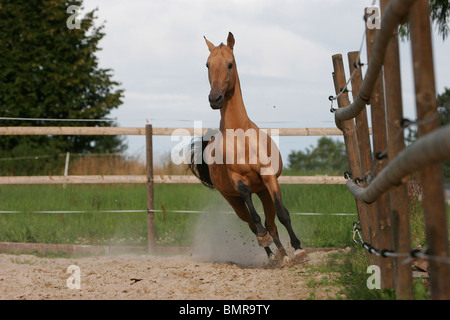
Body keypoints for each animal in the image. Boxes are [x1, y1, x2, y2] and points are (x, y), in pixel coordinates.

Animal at [188, 31, 308, 264]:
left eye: (230, 64)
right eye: (207, 65)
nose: (215, 99)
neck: (241, 138)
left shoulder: (268, 176)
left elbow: (283, 213)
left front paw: (299, 250)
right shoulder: (238, 182)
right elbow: (254, 216)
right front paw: (266, 241)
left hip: (262, 191)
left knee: (272, 223)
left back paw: (283, 255)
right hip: (233, 200)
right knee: (254, 224)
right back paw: (273, 255)